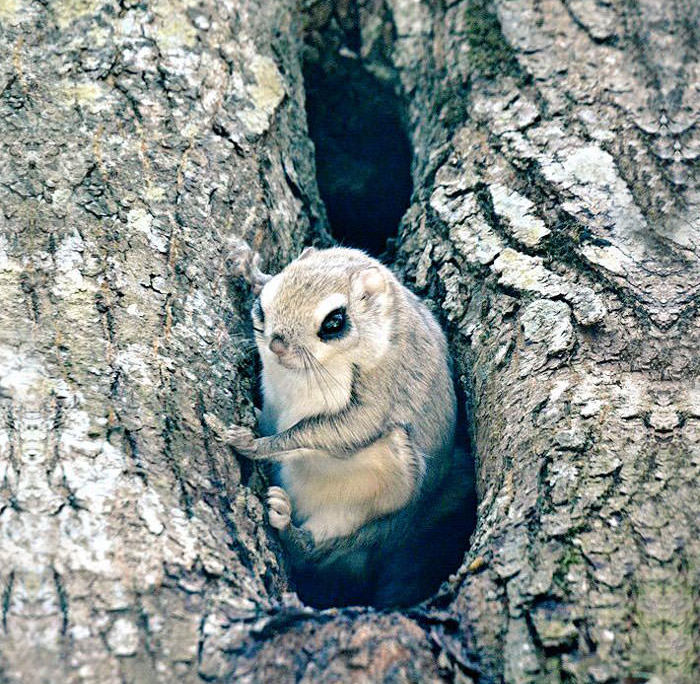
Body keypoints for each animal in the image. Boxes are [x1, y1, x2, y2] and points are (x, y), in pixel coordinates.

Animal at [208, 246, 470, 608]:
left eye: (334, 322)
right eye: (263, 304)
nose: (277, 345)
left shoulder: (381, 393)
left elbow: (330, 430)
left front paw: (255, 445)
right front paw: (249, 266)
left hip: (362, 506)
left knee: (317, 550)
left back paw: (288, 525)